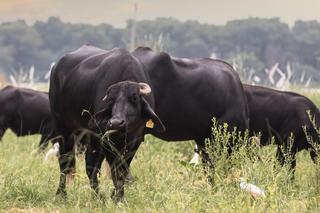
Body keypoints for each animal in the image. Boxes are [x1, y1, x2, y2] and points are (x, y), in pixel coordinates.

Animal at [50, 45, 249, 201]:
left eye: (134, 98)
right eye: (111, 100)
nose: (116, 122)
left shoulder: (136, 138)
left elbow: (121, 168)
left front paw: (117, 196)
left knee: (90, 164)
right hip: (64, 128)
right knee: (66, 161)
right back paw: (62, 194)